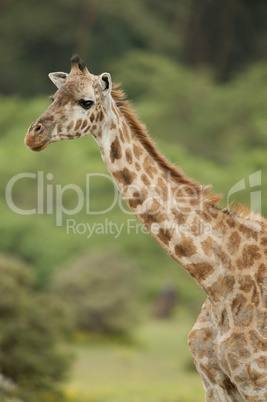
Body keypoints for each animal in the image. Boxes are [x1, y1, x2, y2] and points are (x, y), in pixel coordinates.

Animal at [24, 55, 266, 400]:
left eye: (86, 102)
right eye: (53, 97)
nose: (34, 134)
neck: (216, 278)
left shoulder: (256, 381)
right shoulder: (214, 384)